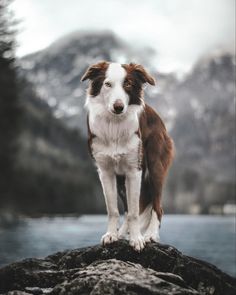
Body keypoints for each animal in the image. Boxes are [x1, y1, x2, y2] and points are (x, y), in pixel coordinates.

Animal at [81, 61, 173, 252]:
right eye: (107, 84)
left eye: (128, 84)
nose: (118, 107)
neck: (114, 126)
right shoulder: (105, 171)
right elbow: (113, 209)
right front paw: (111, 235)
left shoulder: (134, 170)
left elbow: (133, 212)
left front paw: (137, 239)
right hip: (122, 181)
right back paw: (123, 233)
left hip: (155, 167)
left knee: (157, 206)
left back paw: (150, 235)